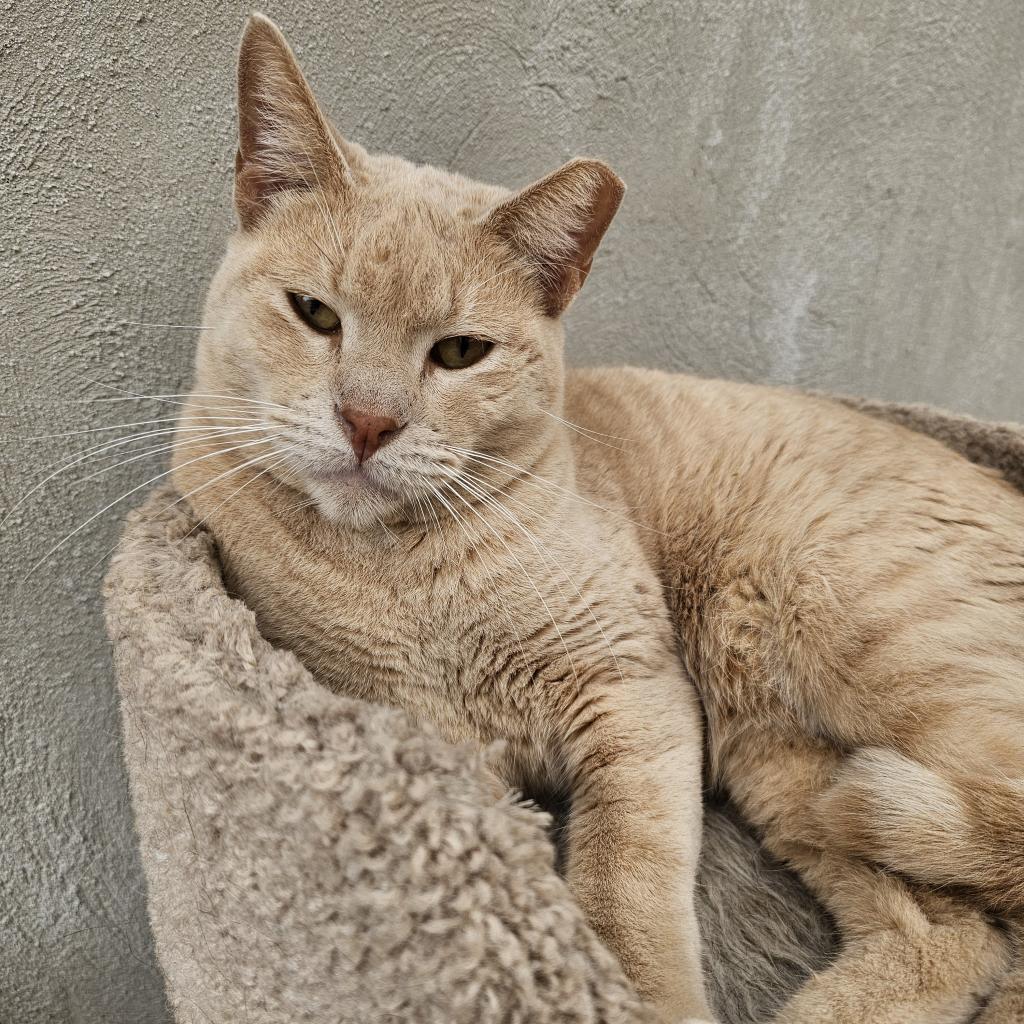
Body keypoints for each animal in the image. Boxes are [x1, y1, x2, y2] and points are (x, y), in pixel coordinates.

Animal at [172, 16, 1024, 1024]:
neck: (410, 578)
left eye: (459, 353)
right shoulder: (425, 742)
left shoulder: (636, 695)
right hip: (792, 766)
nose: (369, 420)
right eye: (314, 313)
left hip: (872, 644)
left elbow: (627, 888)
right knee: (954, 930)